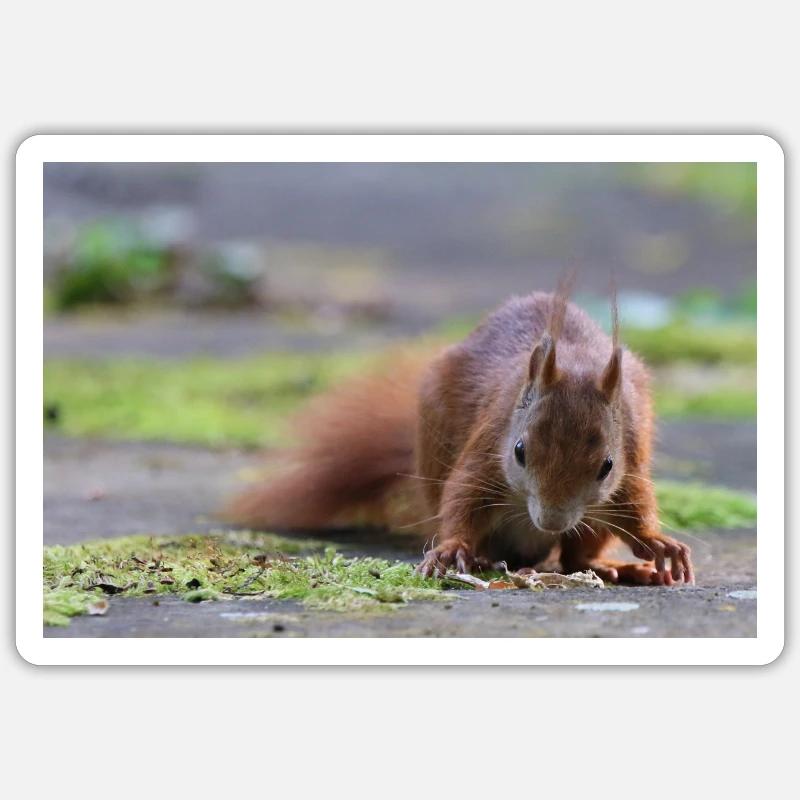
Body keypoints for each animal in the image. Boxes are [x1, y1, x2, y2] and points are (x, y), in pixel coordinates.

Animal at [228, 284, 694, 586]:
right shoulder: (488, 448)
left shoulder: (630, 456)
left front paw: (657, 544)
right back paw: (486, 557)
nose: (552, 520)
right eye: (519, 450)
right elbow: (462, 497)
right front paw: (452, 549)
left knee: (577, 555)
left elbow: (635, 504)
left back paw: (615, 568)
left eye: (606, 466)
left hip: (591, 521)